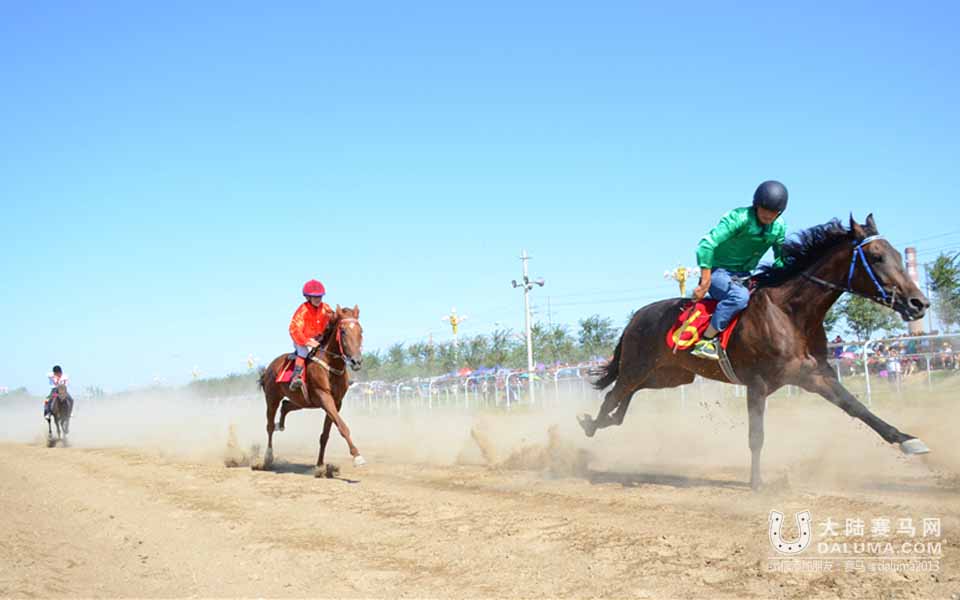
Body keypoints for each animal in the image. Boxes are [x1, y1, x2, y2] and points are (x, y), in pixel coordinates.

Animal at [257, 305, 365, 477]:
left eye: (361, 331)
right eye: (343, 331)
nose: (356, 361)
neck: (330, 366)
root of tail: (268, 368)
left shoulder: (336, 402)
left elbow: (325, 435)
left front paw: (320, 466)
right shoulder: (324, 397)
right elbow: (342, 427)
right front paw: (357, 456)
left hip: (302, 401)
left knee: (286, 405)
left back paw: (281, 424)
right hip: (272, 398)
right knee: (269, 426)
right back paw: (268, 457)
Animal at [577, 215, 931, 490]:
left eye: (898, 254)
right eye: (876, 256)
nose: (919, 303)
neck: (790, 313)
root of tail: (635, 317)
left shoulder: (815, 375)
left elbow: (858, 408)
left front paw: (908, 440)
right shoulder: (757, 383)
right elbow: (756, 435)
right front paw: (757, 483)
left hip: (671, 375)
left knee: (627, 395)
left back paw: (607, 421)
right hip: (638, 366)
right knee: (614, 394)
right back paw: (590, 427)